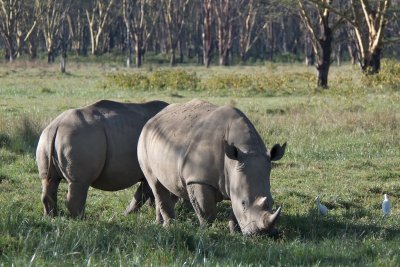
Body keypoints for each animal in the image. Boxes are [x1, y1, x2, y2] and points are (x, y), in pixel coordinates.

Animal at [36, 99, 169, 219]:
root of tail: (57, 126)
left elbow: (147, 195)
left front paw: (130, 214)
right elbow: (145, 194)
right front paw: (130, 214)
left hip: (46, 138)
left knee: (50, 180)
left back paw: (51, 217)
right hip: (79, 138)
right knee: (79, 183)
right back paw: (82, 219)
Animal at [138, 100, 284, 237]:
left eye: (272, 201)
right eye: (244, 203)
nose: (262, 234)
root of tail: (153, 117)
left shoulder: (236, 176)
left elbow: (234, 209)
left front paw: (234, 232)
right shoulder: (198, 178)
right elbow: (206, 210)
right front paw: (207, 231)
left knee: (172, 185)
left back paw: (161, 223)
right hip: (143, 140)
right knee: (155, 183)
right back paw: (169, 226)